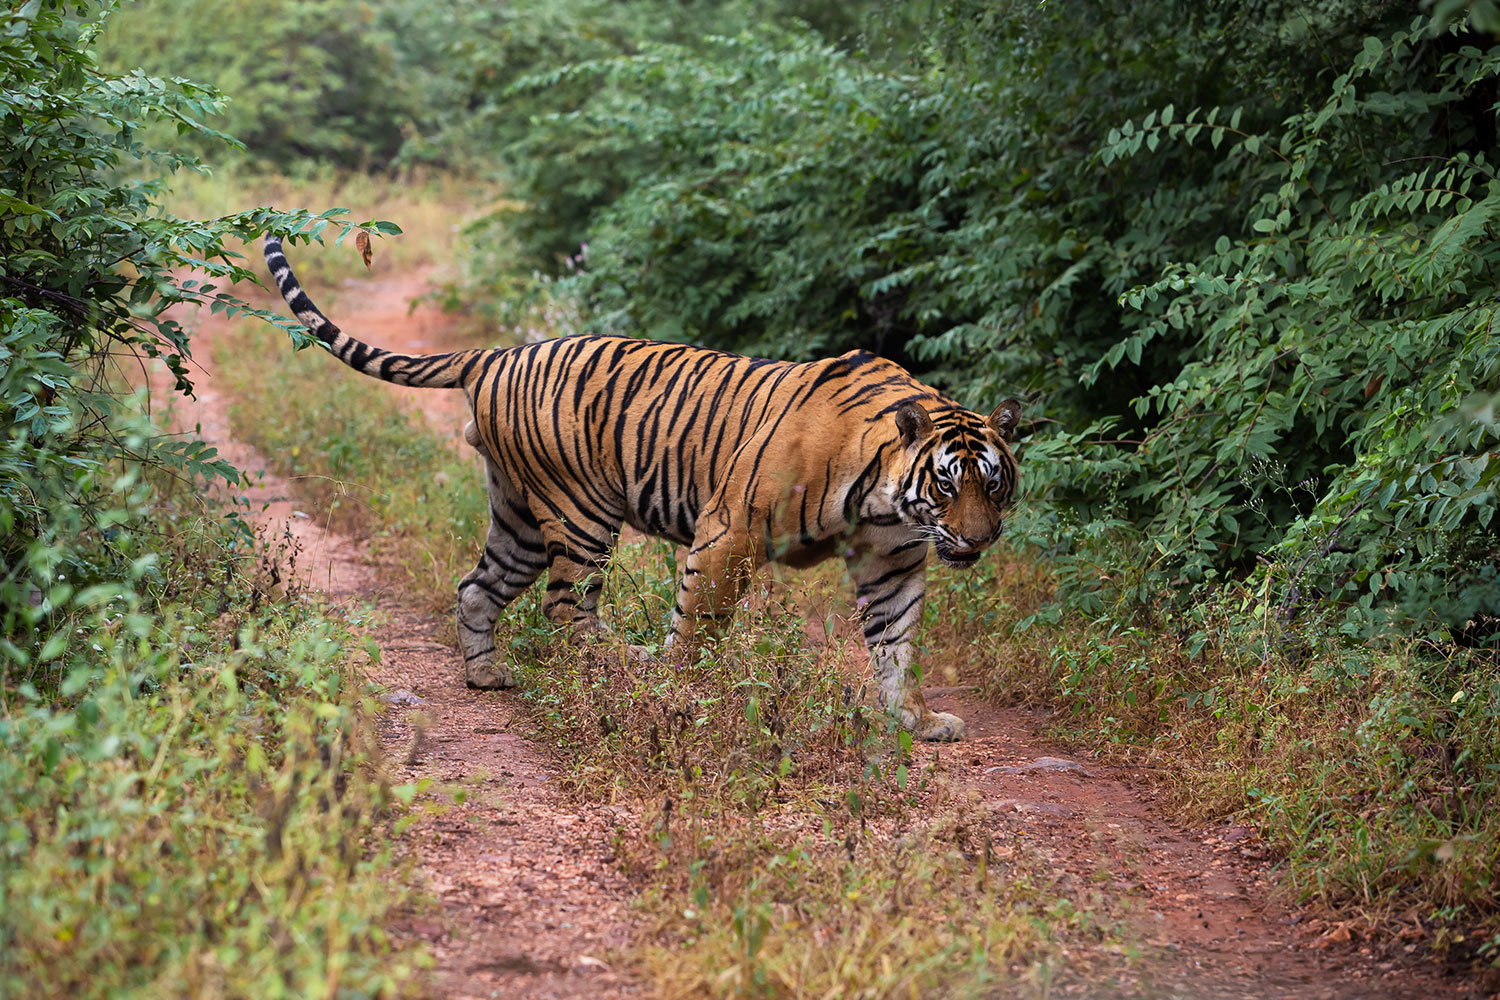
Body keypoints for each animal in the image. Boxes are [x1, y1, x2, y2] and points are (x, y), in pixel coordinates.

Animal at [263, 235, 1021, 741]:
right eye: (946, 486)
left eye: (995, 488)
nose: (979, 542)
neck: (887, 501)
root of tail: (494, 352)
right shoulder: (731, 530)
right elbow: (699, 624)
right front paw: (681, 694)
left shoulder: (894, 560)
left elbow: (897, 643)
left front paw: (915, 719)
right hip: (580, 512)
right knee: (567, 609)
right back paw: (618, 666)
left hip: (519, 516)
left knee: (478, 587)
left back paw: (487, 676)